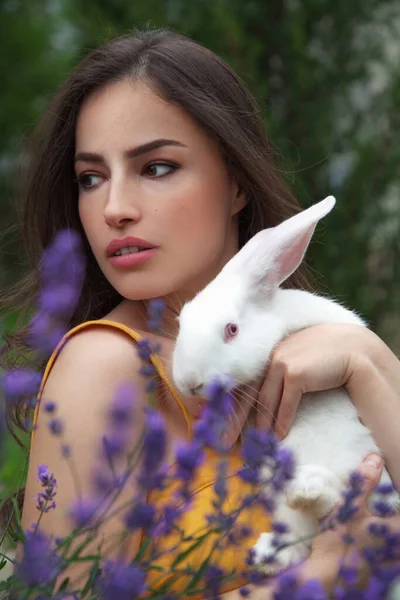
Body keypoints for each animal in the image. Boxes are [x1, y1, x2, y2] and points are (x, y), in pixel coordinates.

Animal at [172, 196, 400, 572]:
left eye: (231, 330)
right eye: (181, 320)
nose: (189, 382)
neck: (276, 322)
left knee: (340, 503)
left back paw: (307, 489)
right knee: (306, 534)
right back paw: (270, 549)